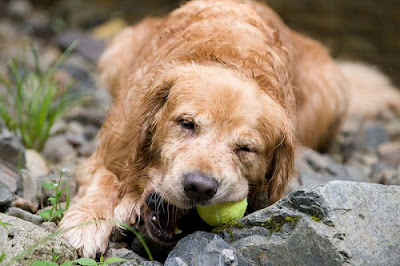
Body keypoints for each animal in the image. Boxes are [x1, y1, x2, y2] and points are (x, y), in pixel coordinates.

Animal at [58, 0, 400, 258]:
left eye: (245, 149)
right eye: (186, 124)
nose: (199, 186)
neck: (232, 60)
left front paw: (127, 203)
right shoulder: (114, 144)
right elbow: (106, 178)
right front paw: (86, 222)